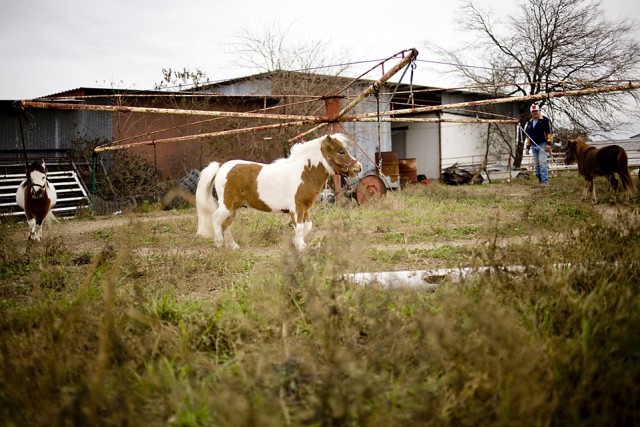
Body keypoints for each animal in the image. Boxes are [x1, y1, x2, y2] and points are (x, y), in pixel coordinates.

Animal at [195, 134, 362, 251]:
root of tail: (222, 166)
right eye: (341, 151)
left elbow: (307, 226)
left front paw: (297, 243)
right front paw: (301, 247)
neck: (303, 173)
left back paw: (233, 246)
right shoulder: (297, 208)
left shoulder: (306, 208)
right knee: (216, 219)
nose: (358, 167)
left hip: (234, 208)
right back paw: (219, 243)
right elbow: (300, 227)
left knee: (227, 224)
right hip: (227, 205)